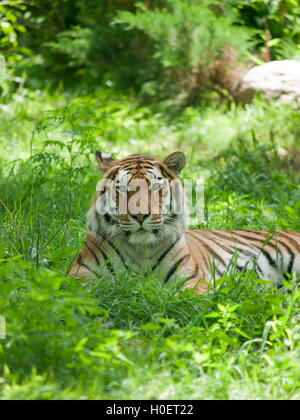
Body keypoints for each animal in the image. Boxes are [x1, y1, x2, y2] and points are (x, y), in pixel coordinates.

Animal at [69, 152, 300, 296]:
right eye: (123, 189)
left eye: (155, 187)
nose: (141, 215)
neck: (140, 250)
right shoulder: (80, 274)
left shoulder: (193, 281)